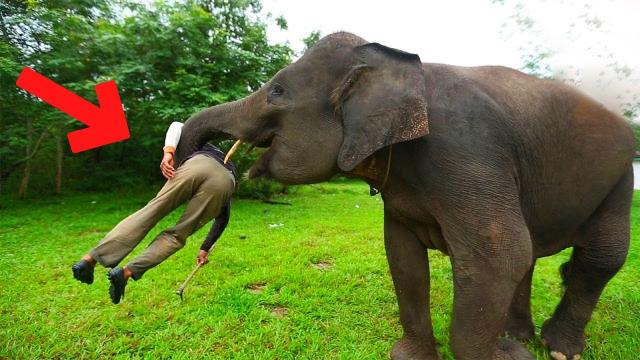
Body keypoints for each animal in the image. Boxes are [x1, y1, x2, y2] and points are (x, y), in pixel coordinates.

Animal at [174, 32, 636, 358]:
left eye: (277, 92)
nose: (214, 160)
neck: (400, 66)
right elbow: (402, 254)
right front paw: (415, 355)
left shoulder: (468, 150)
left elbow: (498, 253)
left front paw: (504, 355)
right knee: (533, 257)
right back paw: (516, 336)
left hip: (620, 179)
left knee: (601, 255)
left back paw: (555, 350)